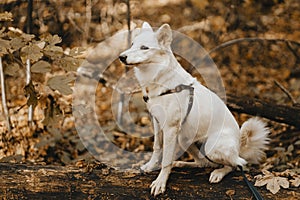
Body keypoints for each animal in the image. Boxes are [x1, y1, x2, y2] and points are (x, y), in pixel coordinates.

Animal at [118, 22, 268, 197]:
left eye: (144, 48)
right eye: (132, 44)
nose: (121, 57)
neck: (160, 80)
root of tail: (239, 145)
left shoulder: (170, 128)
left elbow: (165, 159)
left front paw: (160, 182)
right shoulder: (157, 122)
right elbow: (157, 148)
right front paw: (150, 166)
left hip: (210, 146)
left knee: (238, 163)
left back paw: (218, 173)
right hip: (184, 138)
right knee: (203, 162)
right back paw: (182, 163)